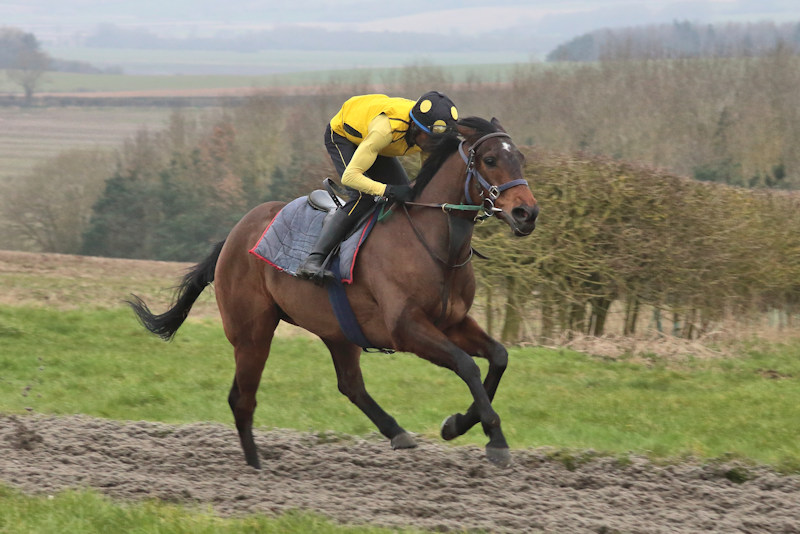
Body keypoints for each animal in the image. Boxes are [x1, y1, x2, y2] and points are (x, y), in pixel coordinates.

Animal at [128, 116, 539, 469]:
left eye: (519, 158)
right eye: (490, 159)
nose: (527, 214)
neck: (434, 244)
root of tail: (233, 235)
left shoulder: (452, 322)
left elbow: (498, 357)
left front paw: (458, 424)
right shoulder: (407, 329)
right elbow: (468, 365)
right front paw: (495, 440)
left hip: (337, 330)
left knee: (350, 385)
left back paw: (396, 432)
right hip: (251, 333)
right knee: (242, 397)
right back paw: (256, 467)